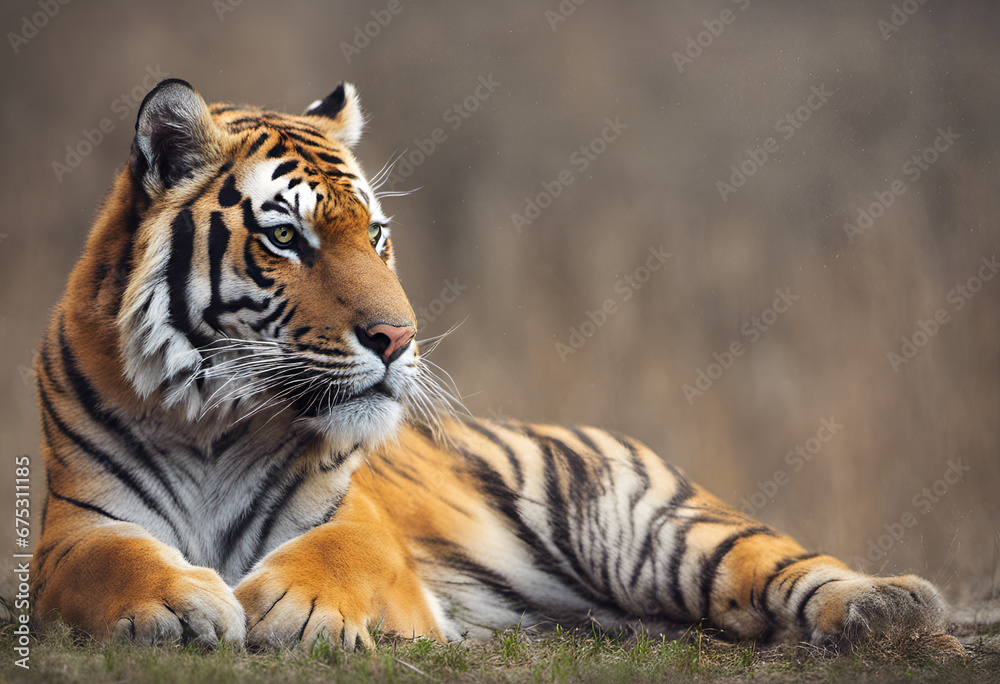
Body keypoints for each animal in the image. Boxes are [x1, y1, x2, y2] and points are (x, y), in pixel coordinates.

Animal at [31, 78, 961, 654]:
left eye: (375, 234)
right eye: (286, 236)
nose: (398, 338)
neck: (214, 422)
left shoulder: (355, 520)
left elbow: (344, 554)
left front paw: (291, 607)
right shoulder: (77, 525)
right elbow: (111, 562)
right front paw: (180, 603)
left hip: (652, 530)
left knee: (781, 565)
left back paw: (888, 608)